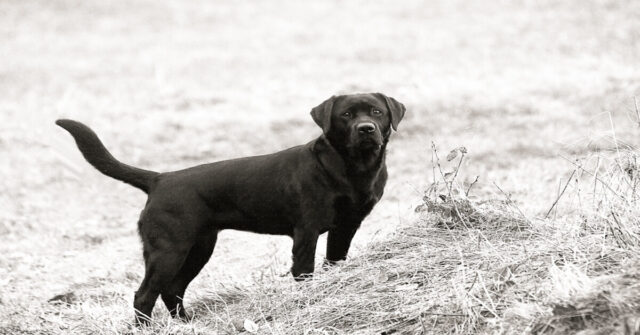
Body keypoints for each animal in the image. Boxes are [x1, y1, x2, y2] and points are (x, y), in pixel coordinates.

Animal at [55, 92, 404, 326]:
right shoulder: (306, 231)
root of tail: (159, 179)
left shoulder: (346, 226)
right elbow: (305, 271)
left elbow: (334, 261)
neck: (352, 169)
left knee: (172, 290)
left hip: (199, 248)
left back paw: (186, 324)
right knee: (145, 294)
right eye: (346, 115)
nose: (366, 128)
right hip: (169, 250)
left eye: (376, 111)